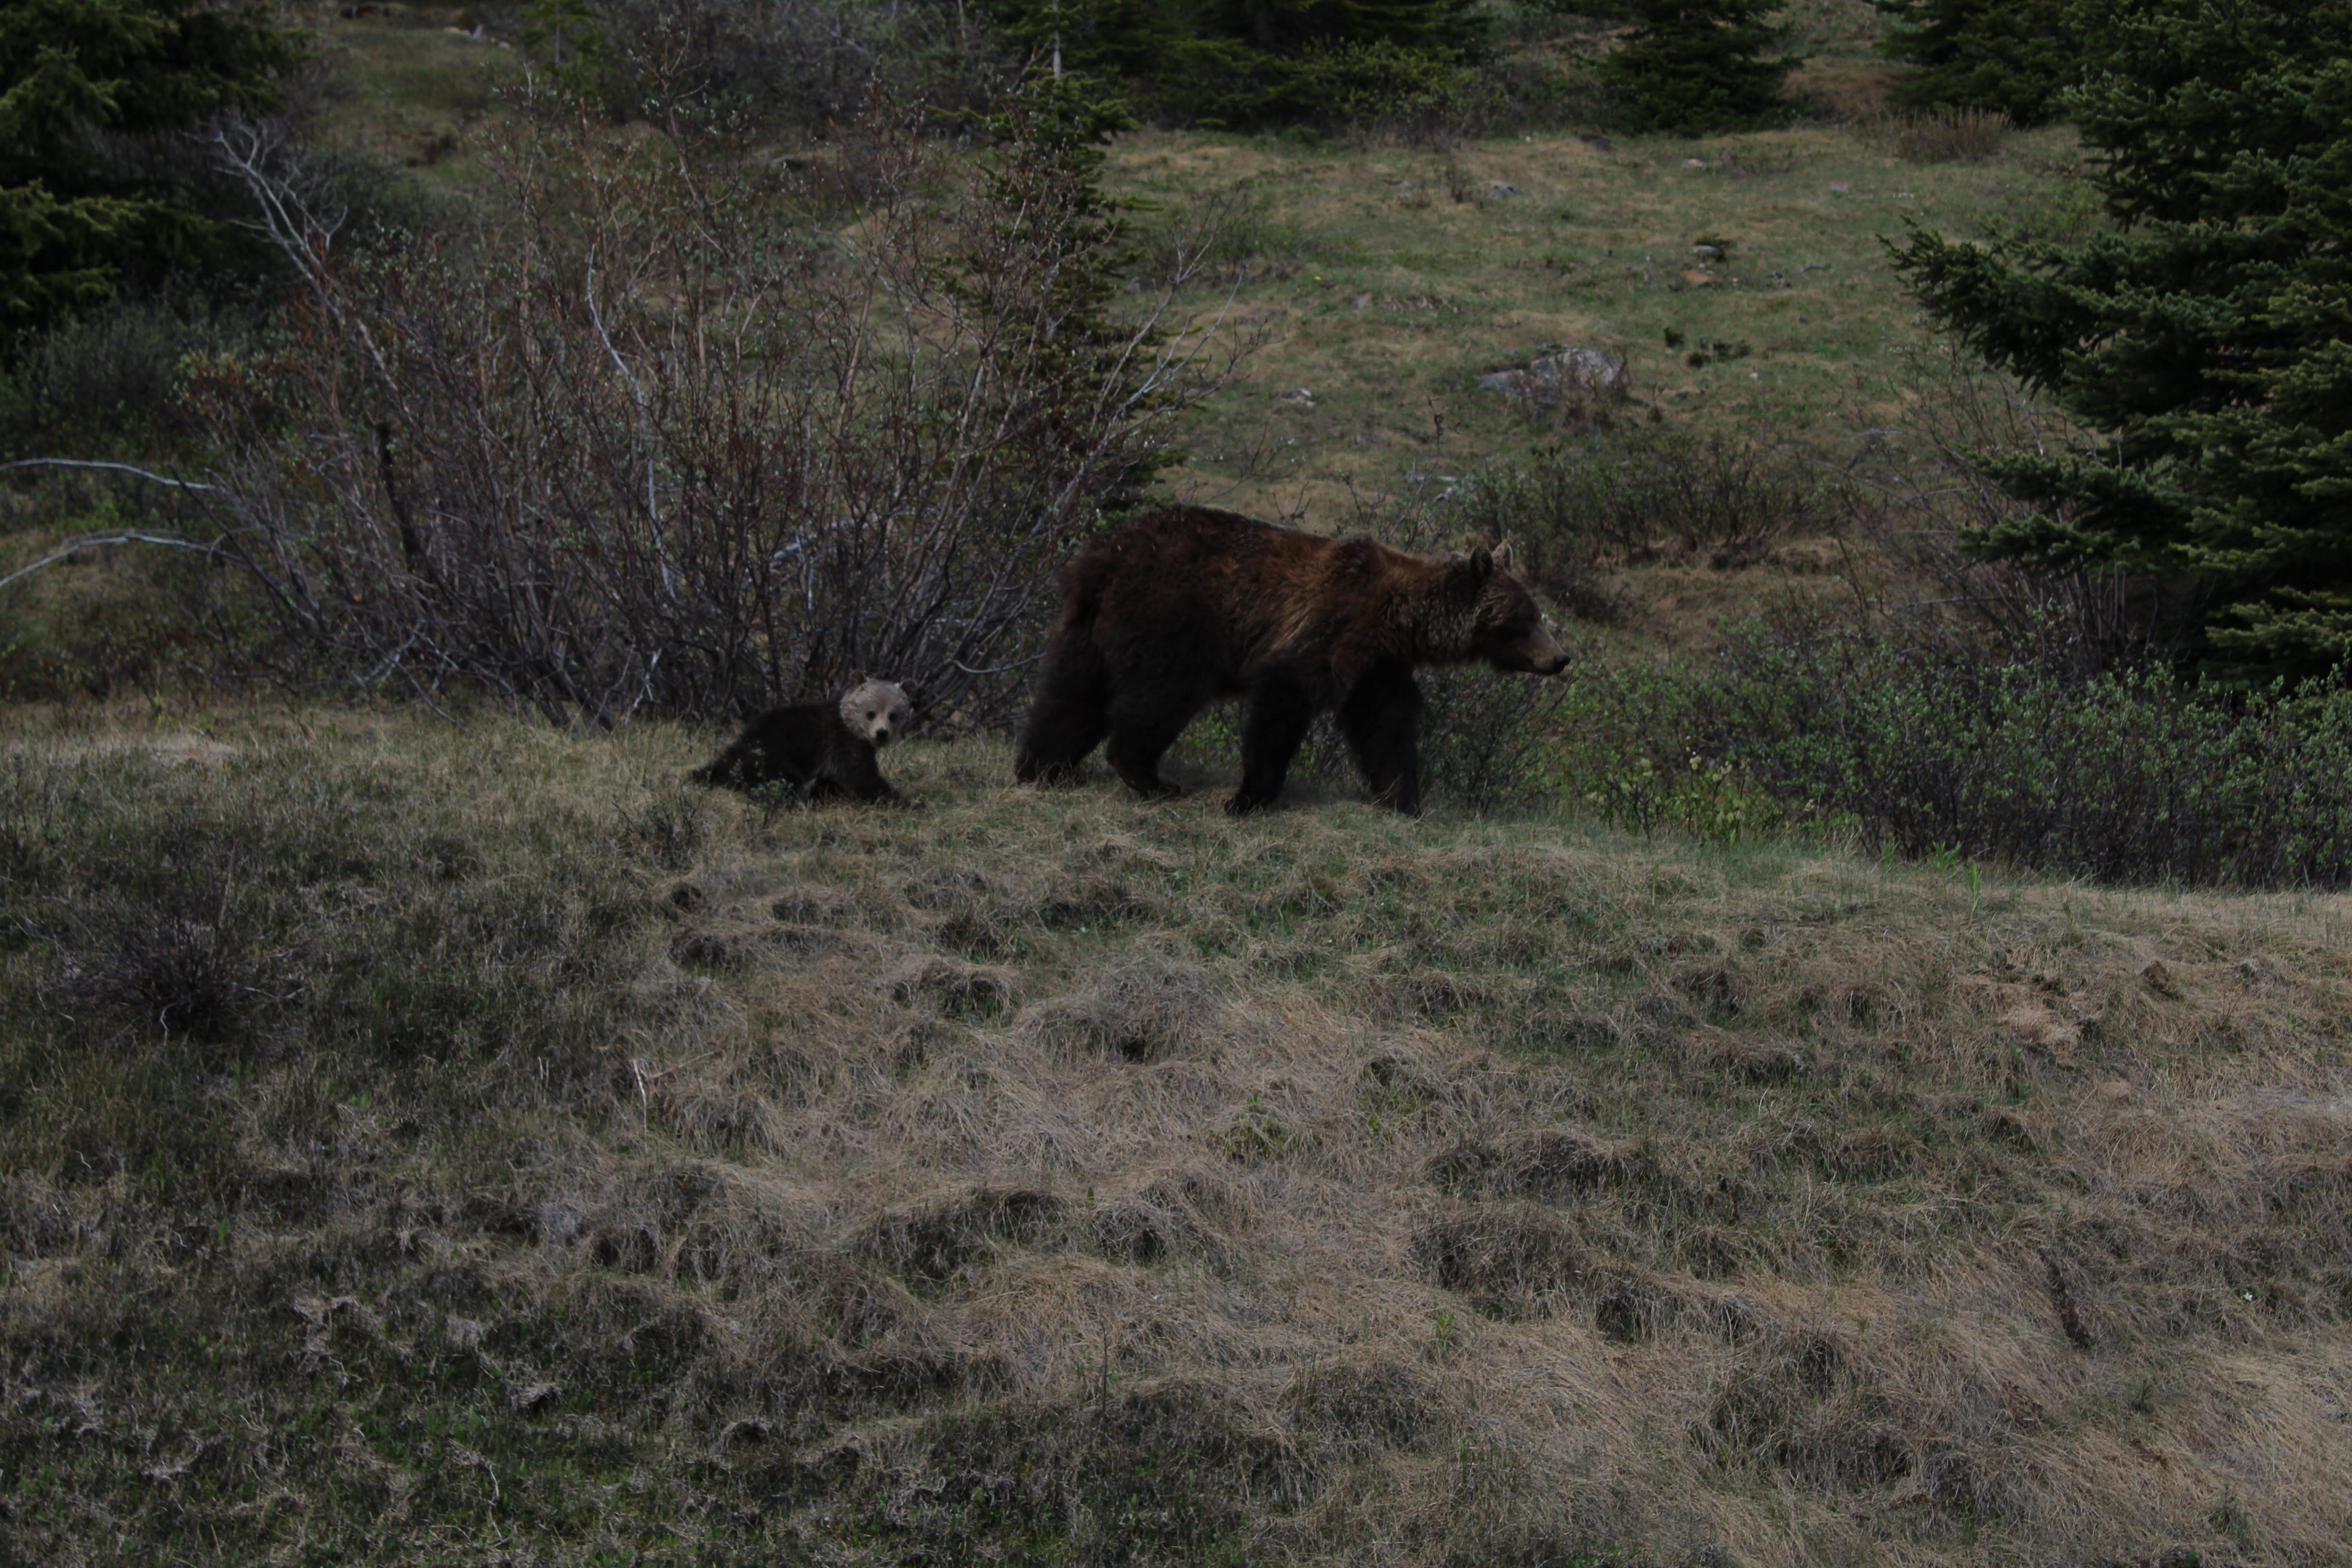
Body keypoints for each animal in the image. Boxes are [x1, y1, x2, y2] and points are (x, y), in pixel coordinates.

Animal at [687, 677, 908, 804]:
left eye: (894, 715)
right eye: (871, 713)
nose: (882, 733)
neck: (848, 723)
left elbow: (832, 781)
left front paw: (823, 795)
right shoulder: (843, 743)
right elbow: (863, 778)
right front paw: (901, 799)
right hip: (772, 755)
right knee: (783, 780)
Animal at [1011, 510, 1562, 818]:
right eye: (1525, 618)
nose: (1560, 657)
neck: (1402, 618)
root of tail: (1103, 556)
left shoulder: (1379, 663)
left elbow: (1385, 723)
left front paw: (1403, 798)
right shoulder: (1334, 622)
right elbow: (1285, 695)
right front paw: (1248, 797)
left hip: (1085, 625)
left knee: (1071, 693)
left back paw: (1040, 766)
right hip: (1173, 613)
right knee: (1163, 693)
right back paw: (1149, 776)